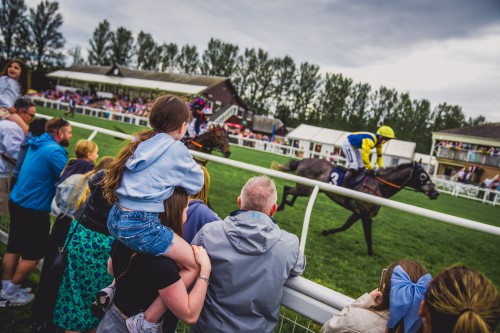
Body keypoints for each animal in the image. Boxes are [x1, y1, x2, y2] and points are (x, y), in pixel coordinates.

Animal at [272, 158, 440, 254]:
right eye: (423, 176)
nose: (436, 193)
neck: (379, 186)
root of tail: (303, 160)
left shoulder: (359, 213)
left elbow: (345, 226)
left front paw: (327, 231)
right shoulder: (366, 215)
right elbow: (368, 235)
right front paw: (371, 253)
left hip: (307, 188)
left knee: (290, 190)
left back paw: (288, 203)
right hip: (305, 188)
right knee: (286, 188)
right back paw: (281, 206)